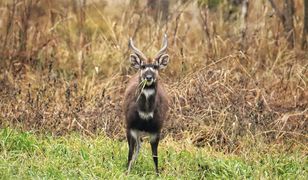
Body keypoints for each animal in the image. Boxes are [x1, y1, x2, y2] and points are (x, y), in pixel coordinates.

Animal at [123, 34, 171, 174]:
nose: (148, 77)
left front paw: (157, 174)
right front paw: (127, 172)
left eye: (155, 66)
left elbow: (155, 156)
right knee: (137, 146)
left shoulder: (156, 130)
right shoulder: (130, 126)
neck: (145, 113)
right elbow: (130, 152)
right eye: (143, 66)